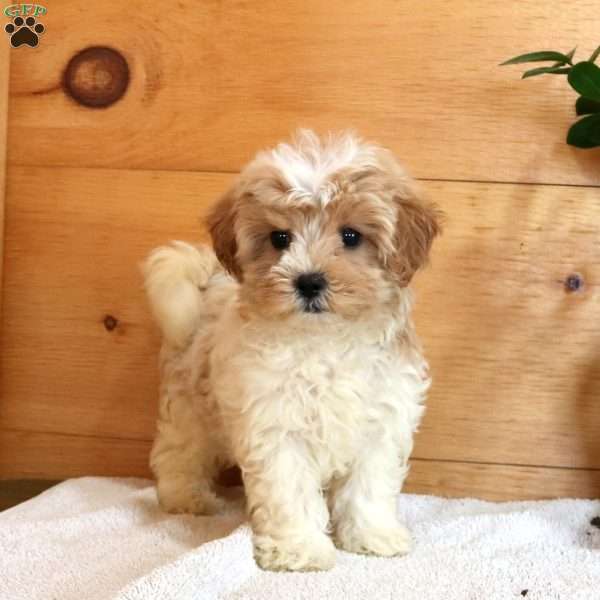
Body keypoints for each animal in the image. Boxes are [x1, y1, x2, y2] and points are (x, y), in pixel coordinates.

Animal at [142, 130, 440, 572]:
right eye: (280, 238)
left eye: (351, 236)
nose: (309, 281)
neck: (325, 341)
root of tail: (209, 281)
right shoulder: (277, 426)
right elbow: (291, 493)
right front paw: (298, 548)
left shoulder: (382, 421)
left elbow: (369, 486)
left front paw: (373, 535)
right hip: (190, 406)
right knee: (179, 451)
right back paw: (186, 497)